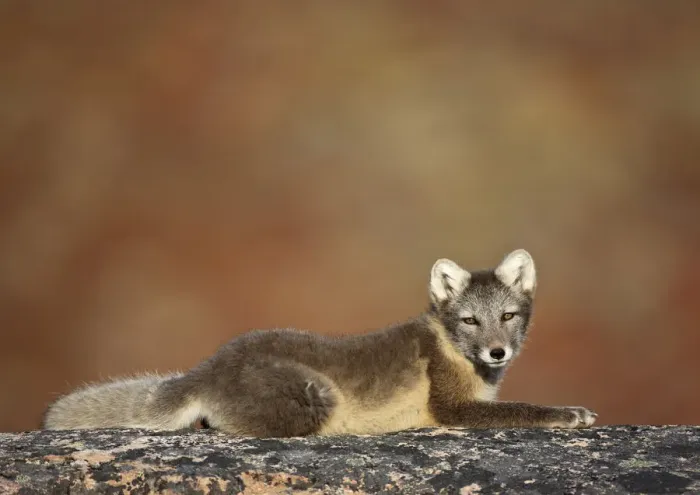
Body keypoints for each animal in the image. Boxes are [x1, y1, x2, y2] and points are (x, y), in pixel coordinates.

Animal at [43, 249, 597, 437]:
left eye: (507, 316)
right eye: (469, 321)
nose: (498, 352)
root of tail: (210, 365)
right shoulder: (452, 409)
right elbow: (525, 409)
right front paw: (570, 413)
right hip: (317, 395)